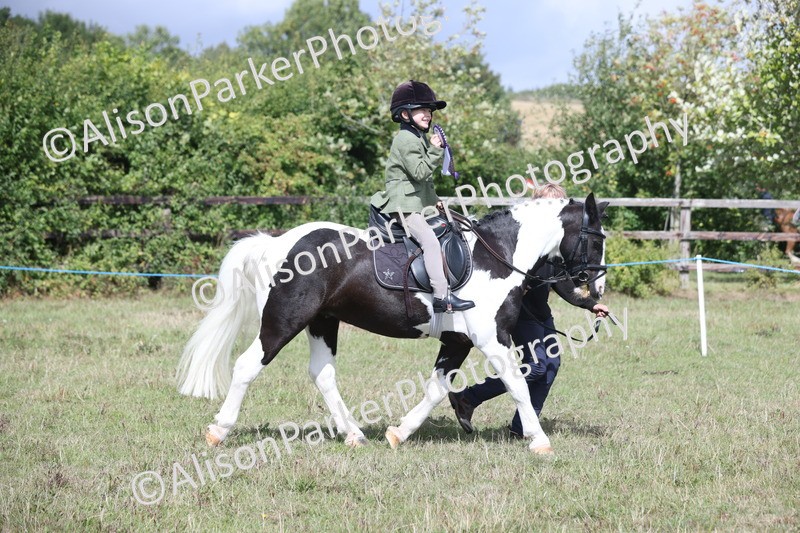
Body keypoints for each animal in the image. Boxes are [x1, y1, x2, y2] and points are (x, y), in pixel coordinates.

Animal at [177, 194, 609, 455]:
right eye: (596, 240)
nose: (598, 288)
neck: (496, 257)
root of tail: (276, 243)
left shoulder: (458, 341)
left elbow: (437, 388)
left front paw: (399, 433)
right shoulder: (490, 339)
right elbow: (517, 384)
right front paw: (539, 440)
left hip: (322, 322)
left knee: (322, 374)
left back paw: (354, 434)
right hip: (284, 321)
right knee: (248, 365)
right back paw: (219, 430)